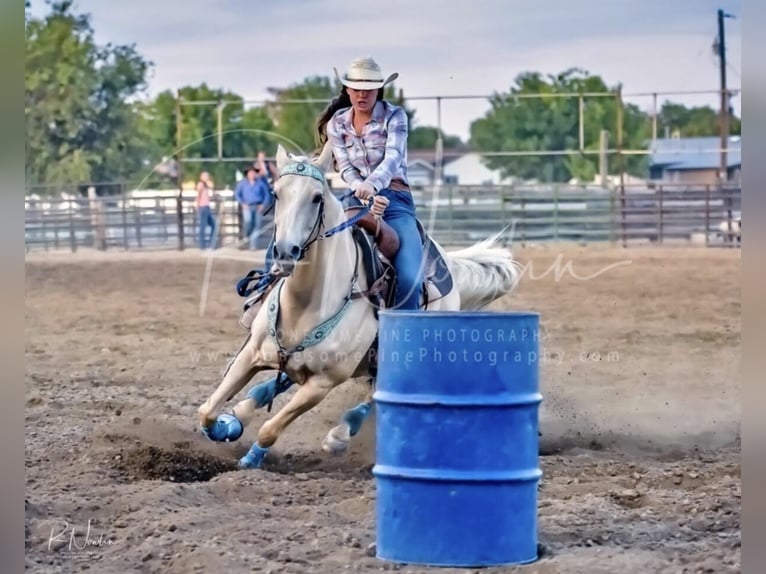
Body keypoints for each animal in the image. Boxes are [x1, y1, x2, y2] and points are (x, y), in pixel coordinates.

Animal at [195, 142, 524, 470]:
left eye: (317, 197)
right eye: (276, 194)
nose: (286, 252)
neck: (306, 303)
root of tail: (448, 267)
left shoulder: (321, 385)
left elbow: (271, 427)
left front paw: (251, 458)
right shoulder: (251, 354)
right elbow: (208, 410)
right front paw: (224, 426)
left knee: (376, 395)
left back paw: (340, 433)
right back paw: (244, 409)